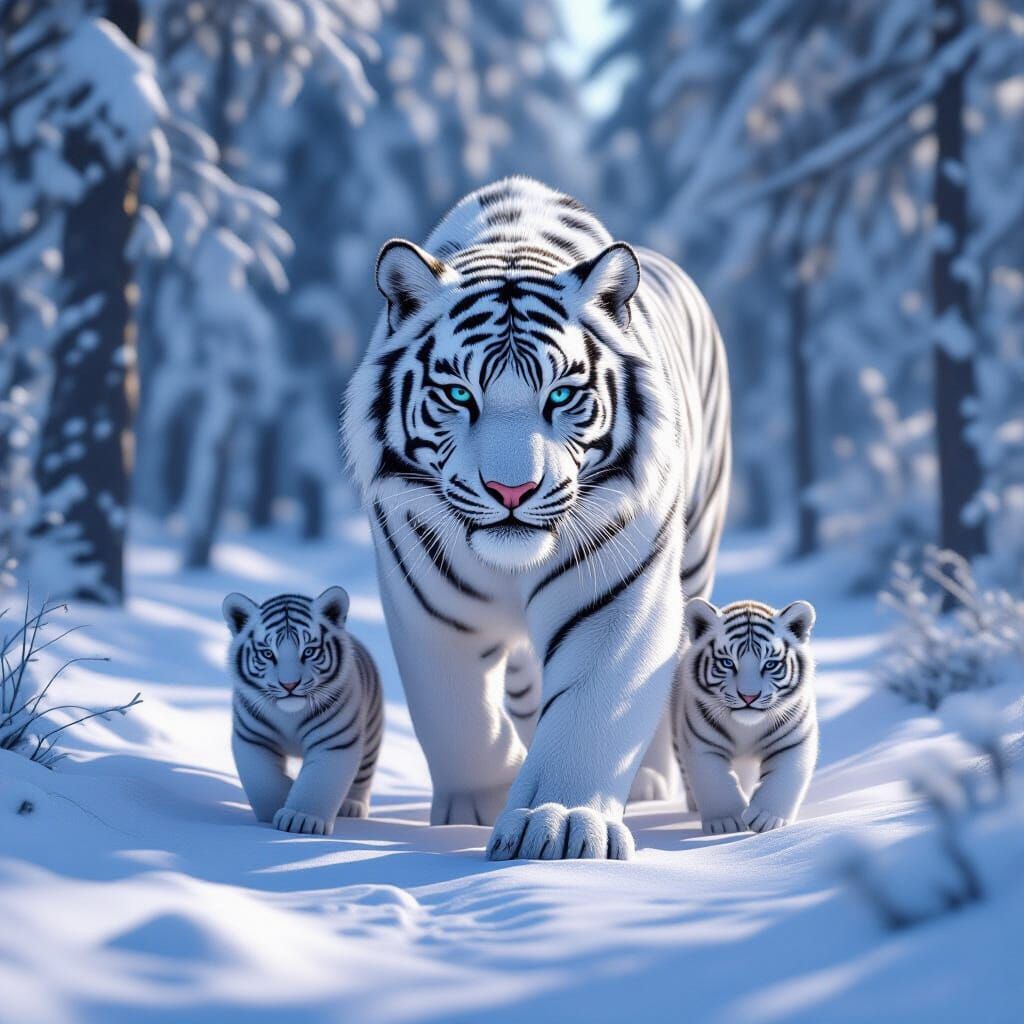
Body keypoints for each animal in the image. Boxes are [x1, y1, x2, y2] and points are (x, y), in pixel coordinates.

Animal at [222, 587, 383, 836]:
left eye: (308, 651)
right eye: (268, 654)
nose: (289, 685)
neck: (289, 715)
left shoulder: (334, 741)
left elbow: (318, 783)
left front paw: (301, 819)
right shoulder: (254, 739)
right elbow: (264, 782)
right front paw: (275, 808)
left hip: (371, 732)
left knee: (364, 773)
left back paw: (351, 806)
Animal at [342, 176, 730, 860]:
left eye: (562, 395)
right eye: (459, 394)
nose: (511, 490)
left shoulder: (616, 596)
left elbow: (589, 712)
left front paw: (560, 824)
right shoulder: (426, 602)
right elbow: (454, 709)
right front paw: (479, 804)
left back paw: (649, 783)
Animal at [676, 598, 817, 835]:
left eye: (769, 664)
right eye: (728, 663)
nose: (749, 696)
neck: (746, 728)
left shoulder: (792, 742)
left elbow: (784, 779)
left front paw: (767, 818)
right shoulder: (703, 745)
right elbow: (714, 781)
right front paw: (726, 822)